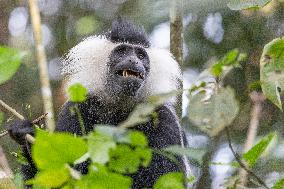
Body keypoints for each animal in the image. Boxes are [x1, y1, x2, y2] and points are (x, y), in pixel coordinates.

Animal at [8, 18, 191, 188]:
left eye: (140, 55)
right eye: (122, 52)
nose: (133, 60)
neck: (120, 108)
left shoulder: (163, 119)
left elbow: (163, 177)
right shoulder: (77, 109)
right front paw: (26, 134)